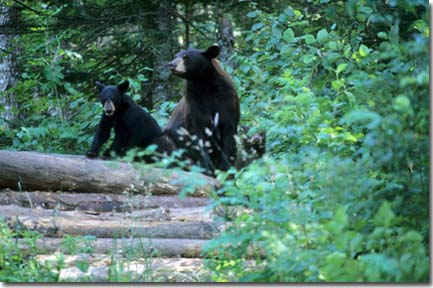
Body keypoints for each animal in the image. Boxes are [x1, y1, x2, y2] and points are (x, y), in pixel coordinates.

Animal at [165, 45, 240, 173]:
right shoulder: (194, 103)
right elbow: (199, 135)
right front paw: (207, 168)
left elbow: (229, 134)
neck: (204, 83)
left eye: (186, 57)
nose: (171, 64)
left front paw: (225, 168)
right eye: (176, 55)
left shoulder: (227, 102)